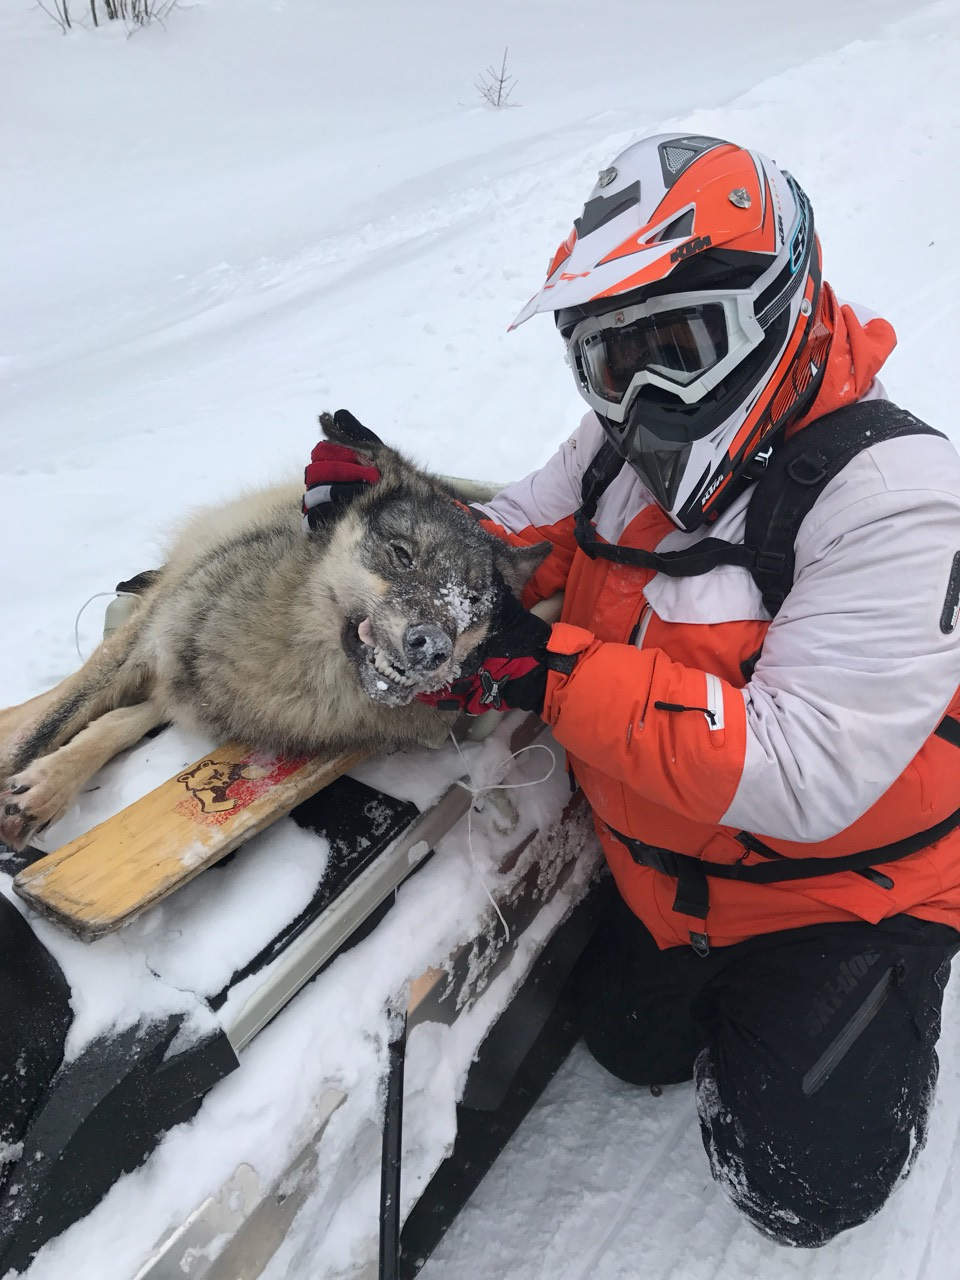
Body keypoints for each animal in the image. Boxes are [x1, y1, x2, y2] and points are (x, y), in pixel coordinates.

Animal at [0, 409, 547, 849]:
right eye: (401, 554)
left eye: (473, 601)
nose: (433, 647)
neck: (296, 663)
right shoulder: (150, 643)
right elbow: (46, 726)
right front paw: (24, 757)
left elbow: (110, 721)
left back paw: (43, 789)